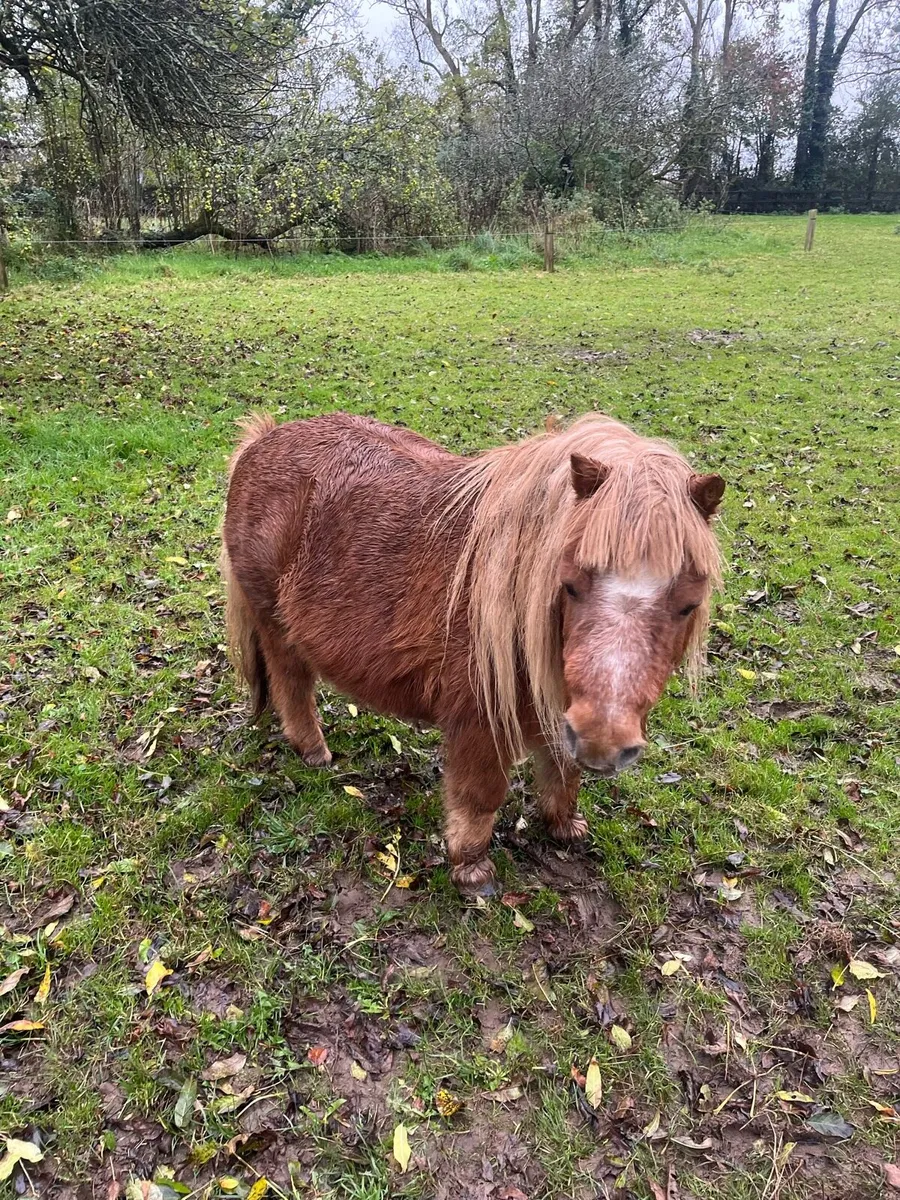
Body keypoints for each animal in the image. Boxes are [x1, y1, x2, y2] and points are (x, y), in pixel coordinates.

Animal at [221, 411, 725, 895]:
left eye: (688, 604)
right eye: (570, 585)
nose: (603, 743)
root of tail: (262, 440)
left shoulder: (560, 704)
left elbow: (563, 771)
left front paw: (565, 827)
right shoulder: (480, 719)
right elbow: (480, 796)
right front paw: (472, 871)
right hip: (275, 625)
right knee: (291, 683)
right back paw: (314, 751)